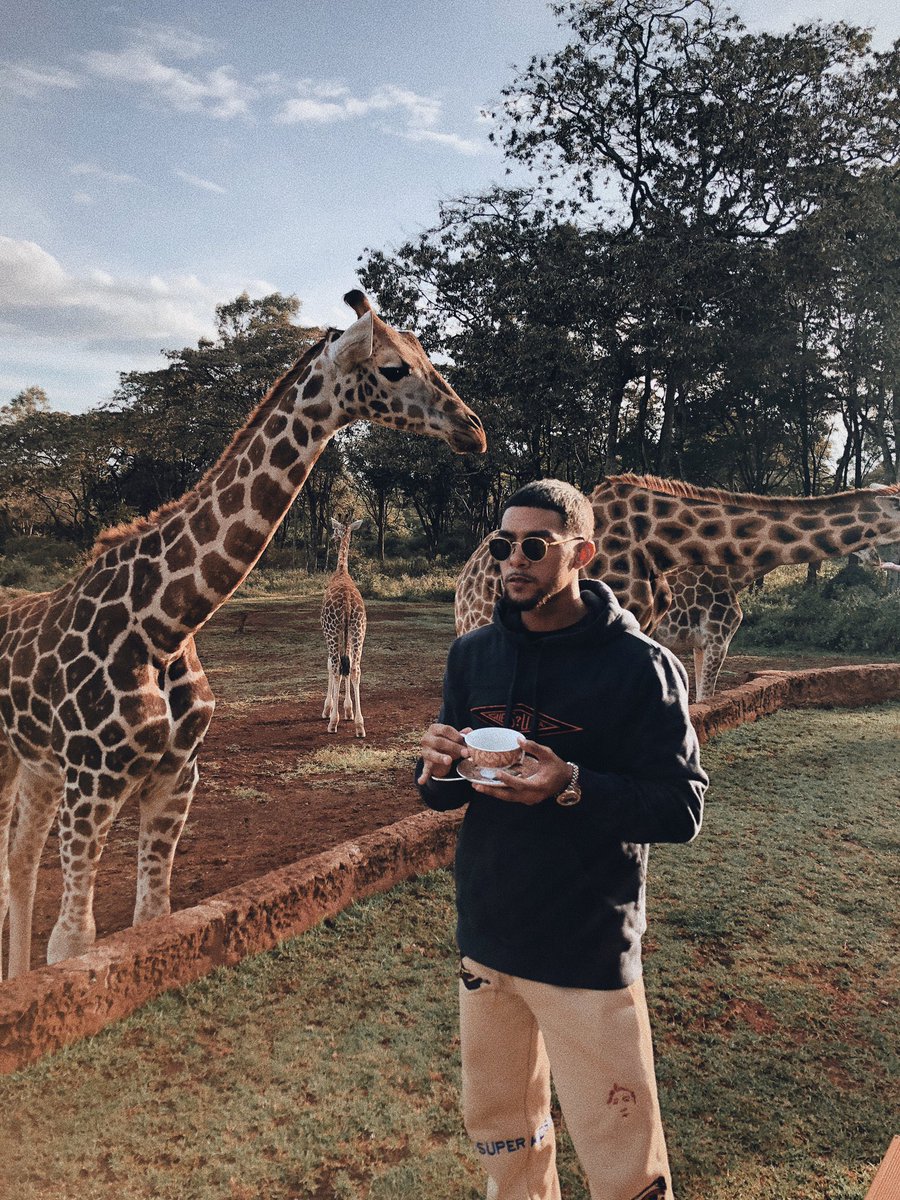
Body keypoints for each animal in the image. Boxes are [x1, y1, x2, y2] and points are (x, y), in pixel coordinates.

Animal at [0, 289, 486, 978]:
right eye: (394, 368)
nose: (474, 427)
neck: (165, 622)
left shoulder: (175, 779)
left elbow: (153, 919)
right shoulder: (93, 783)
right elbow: (72, 944)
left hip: (35, 762)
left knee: (19, 864)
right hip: (20, 761)